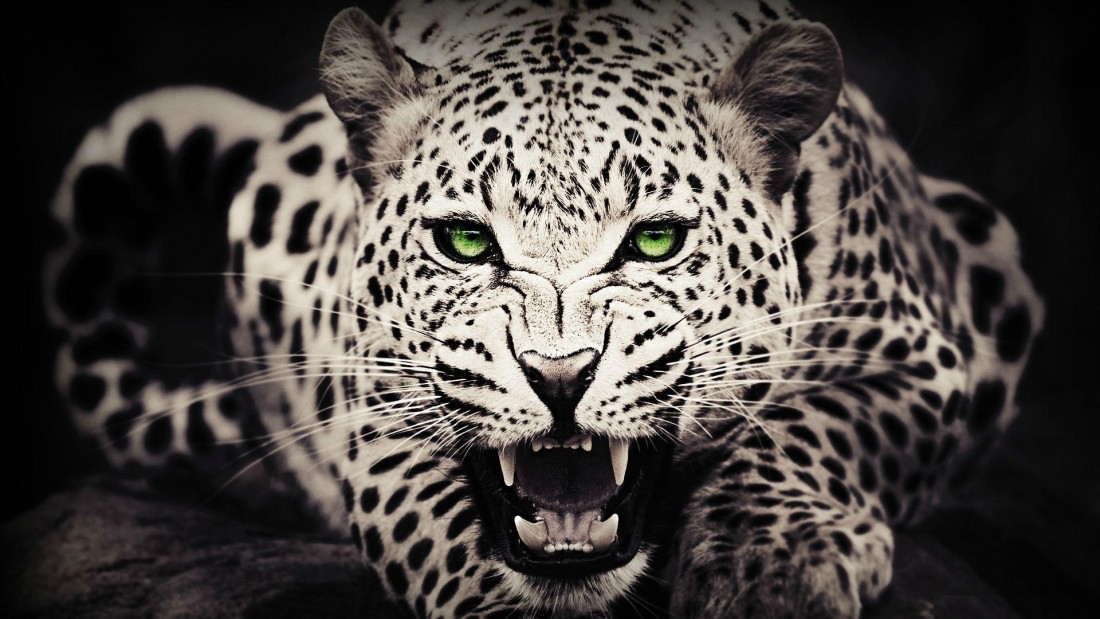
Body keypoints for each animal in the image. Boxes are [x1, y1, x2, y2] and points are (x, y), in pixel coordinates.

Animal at [43, 0, 1043, 617]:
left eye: (654, 241)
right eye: (464, 241)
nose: (559, 376)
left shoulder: (920, 355)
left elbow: (817, 427)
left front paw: (774, 566)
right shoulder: (373, 410)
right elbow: (434, 525)